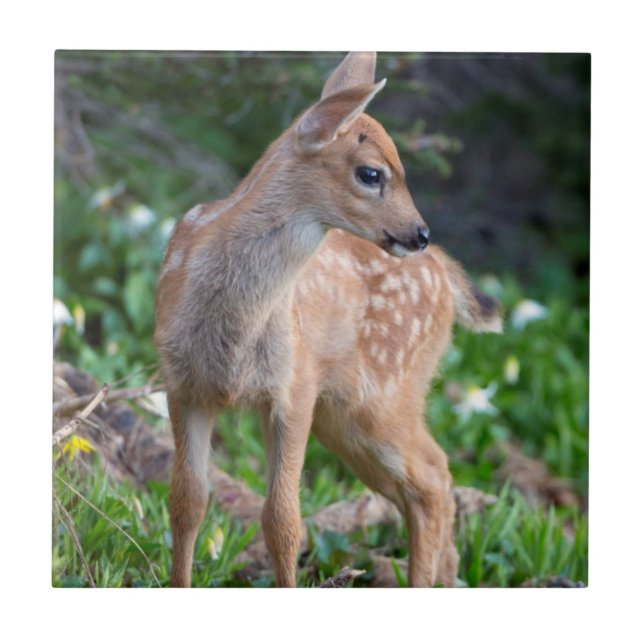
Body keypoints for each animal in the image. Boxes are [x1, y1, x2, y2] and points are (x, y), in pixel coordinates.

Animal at [155, 51, 502, 588]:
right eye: (372, 173)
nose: (420, 232)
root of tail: (445, 271)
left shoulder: (295, 387)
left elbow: (282, 520)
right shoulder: (183, 384)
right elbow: (187, 503)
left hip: (382, 396)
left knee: (431, 478)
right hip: (347, 417)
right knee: (431, 480)